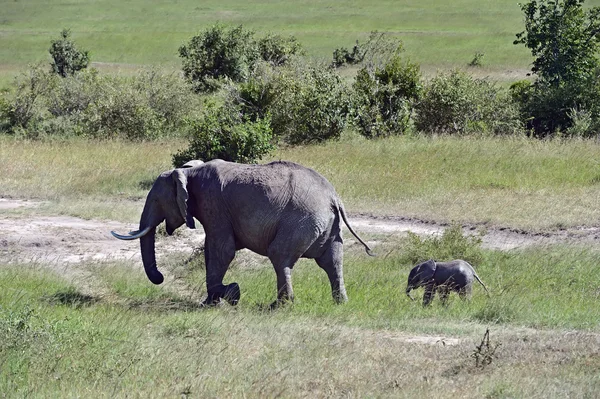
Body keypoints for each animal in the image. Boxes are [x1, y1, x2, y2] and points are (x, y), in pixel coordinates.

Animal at [110, 159, 372, 306]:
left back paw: (279, 306)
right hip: (328, 225)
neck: (189, 171)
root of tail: (334, 198)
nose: (161, 277)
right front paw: (214, 300)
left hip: (301, 220)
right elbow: (215, 251)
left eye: (156, 200)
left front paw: (229, 295)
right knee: (332, 261)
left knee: (280, 256)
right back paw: (340, 304)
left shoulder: (213, 204)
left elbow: (222, 251)